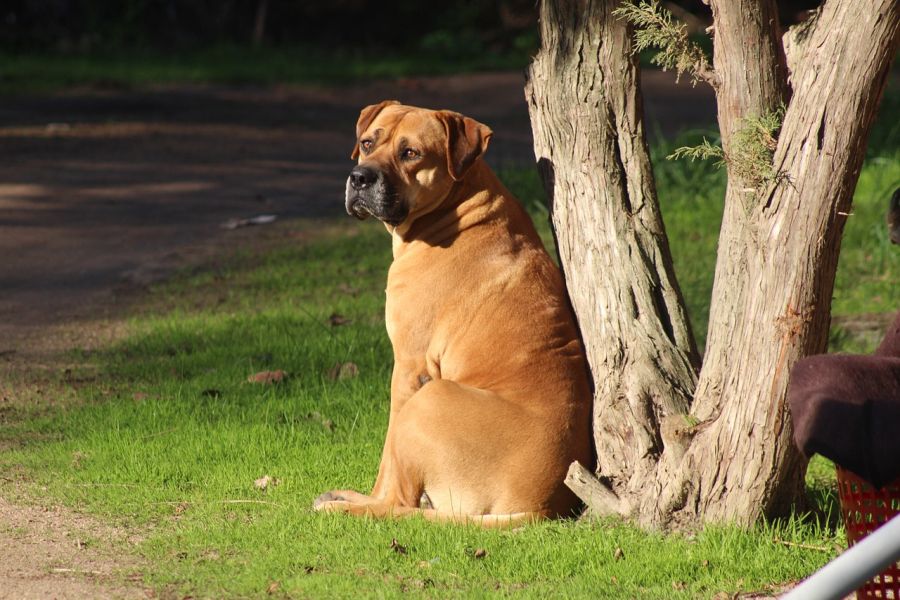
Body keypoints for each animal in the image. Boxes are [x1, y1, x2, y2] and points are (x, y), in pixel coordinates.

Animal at [312, 102, 596, 524]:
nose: (359, 178)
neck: (456, 206)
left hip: (429, 399)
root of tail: (537, 508)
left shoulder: (409, 368)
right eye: (367, 143)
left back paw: (348, 506)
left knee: (398, 502)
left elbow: (387, 459)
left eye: (410, 153)